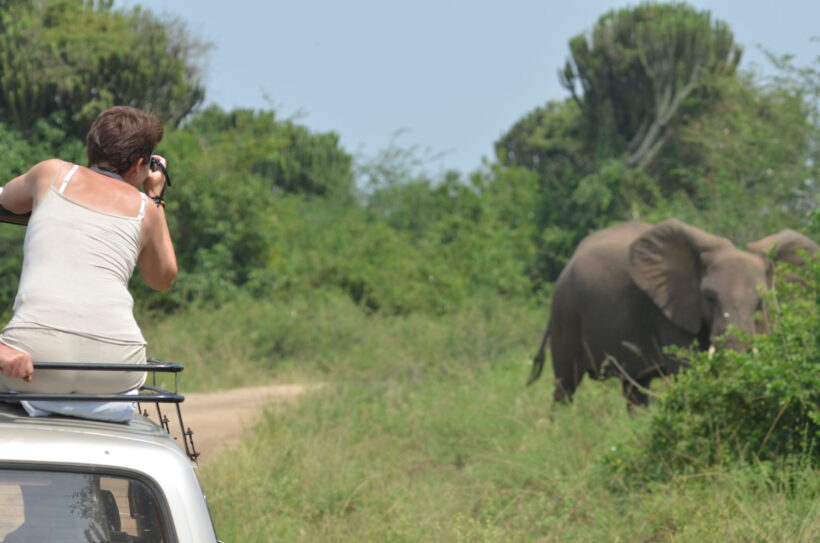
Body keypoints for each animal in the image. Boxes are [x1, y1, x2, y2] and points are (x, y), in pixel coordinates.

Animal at [528, 218, 772, 408]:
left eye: (760, 303)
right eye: (710, 298)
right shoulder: (668, 313)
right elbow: (687, 369)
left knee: (635, 389)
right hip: (566, 314)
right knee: (565, 386)